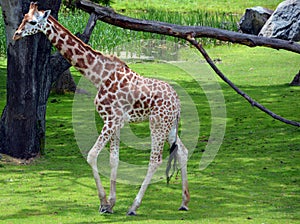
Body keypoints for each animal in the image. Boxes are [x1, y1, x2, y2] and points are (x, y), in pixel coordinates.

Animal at [13, 2, 190, 215]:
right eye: (23, 17)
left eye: (32, 21)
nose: (16, 34)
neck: (97, 76)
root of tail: (178, 102)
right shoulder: (116, 122)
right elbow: (114, 159)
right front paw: (111, 203)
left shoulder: (111, 119)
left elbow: (92, 155)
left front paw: (104, 203)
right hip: (170, 124)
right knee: (183, 151)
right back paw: (184, 202)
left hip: (158, 123)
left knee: (155, 160)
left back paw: (134, 206)